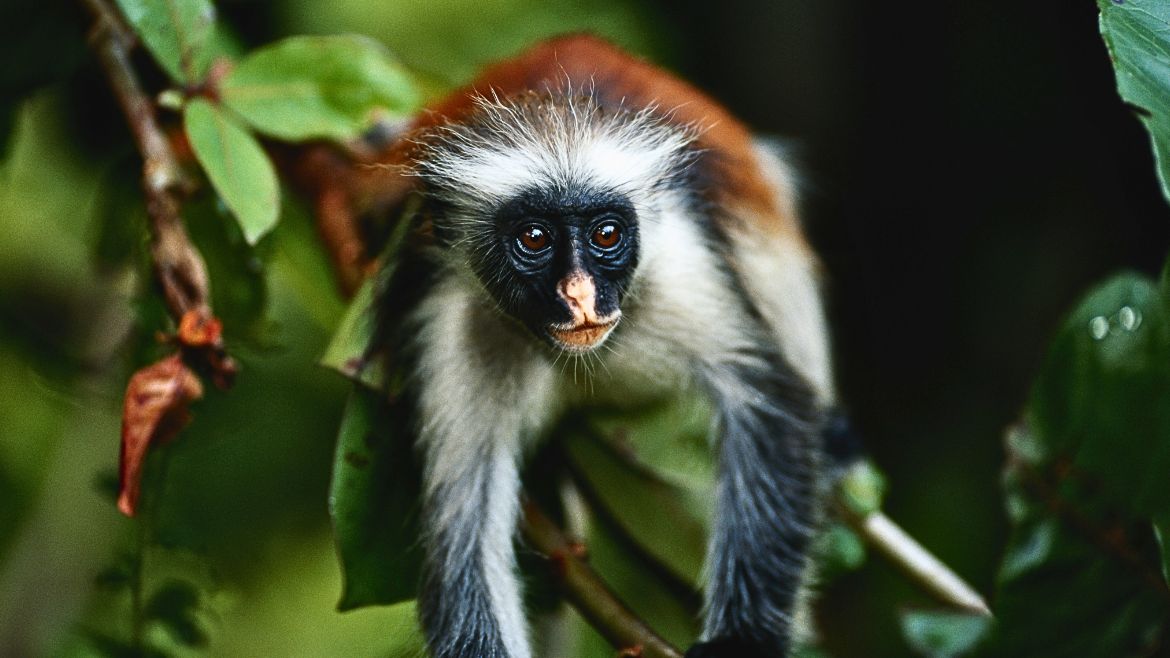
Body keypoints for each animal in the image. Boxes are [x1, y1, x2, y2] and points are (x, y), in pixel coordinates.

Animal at [362, 34, 833, 655]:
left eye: (606, 234)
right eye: (534, 238)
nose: (581, 294)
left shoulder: (679, 261)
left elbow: (768, 402)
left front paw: (742, 642)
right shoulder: (453, 319)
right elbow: (464, 522)